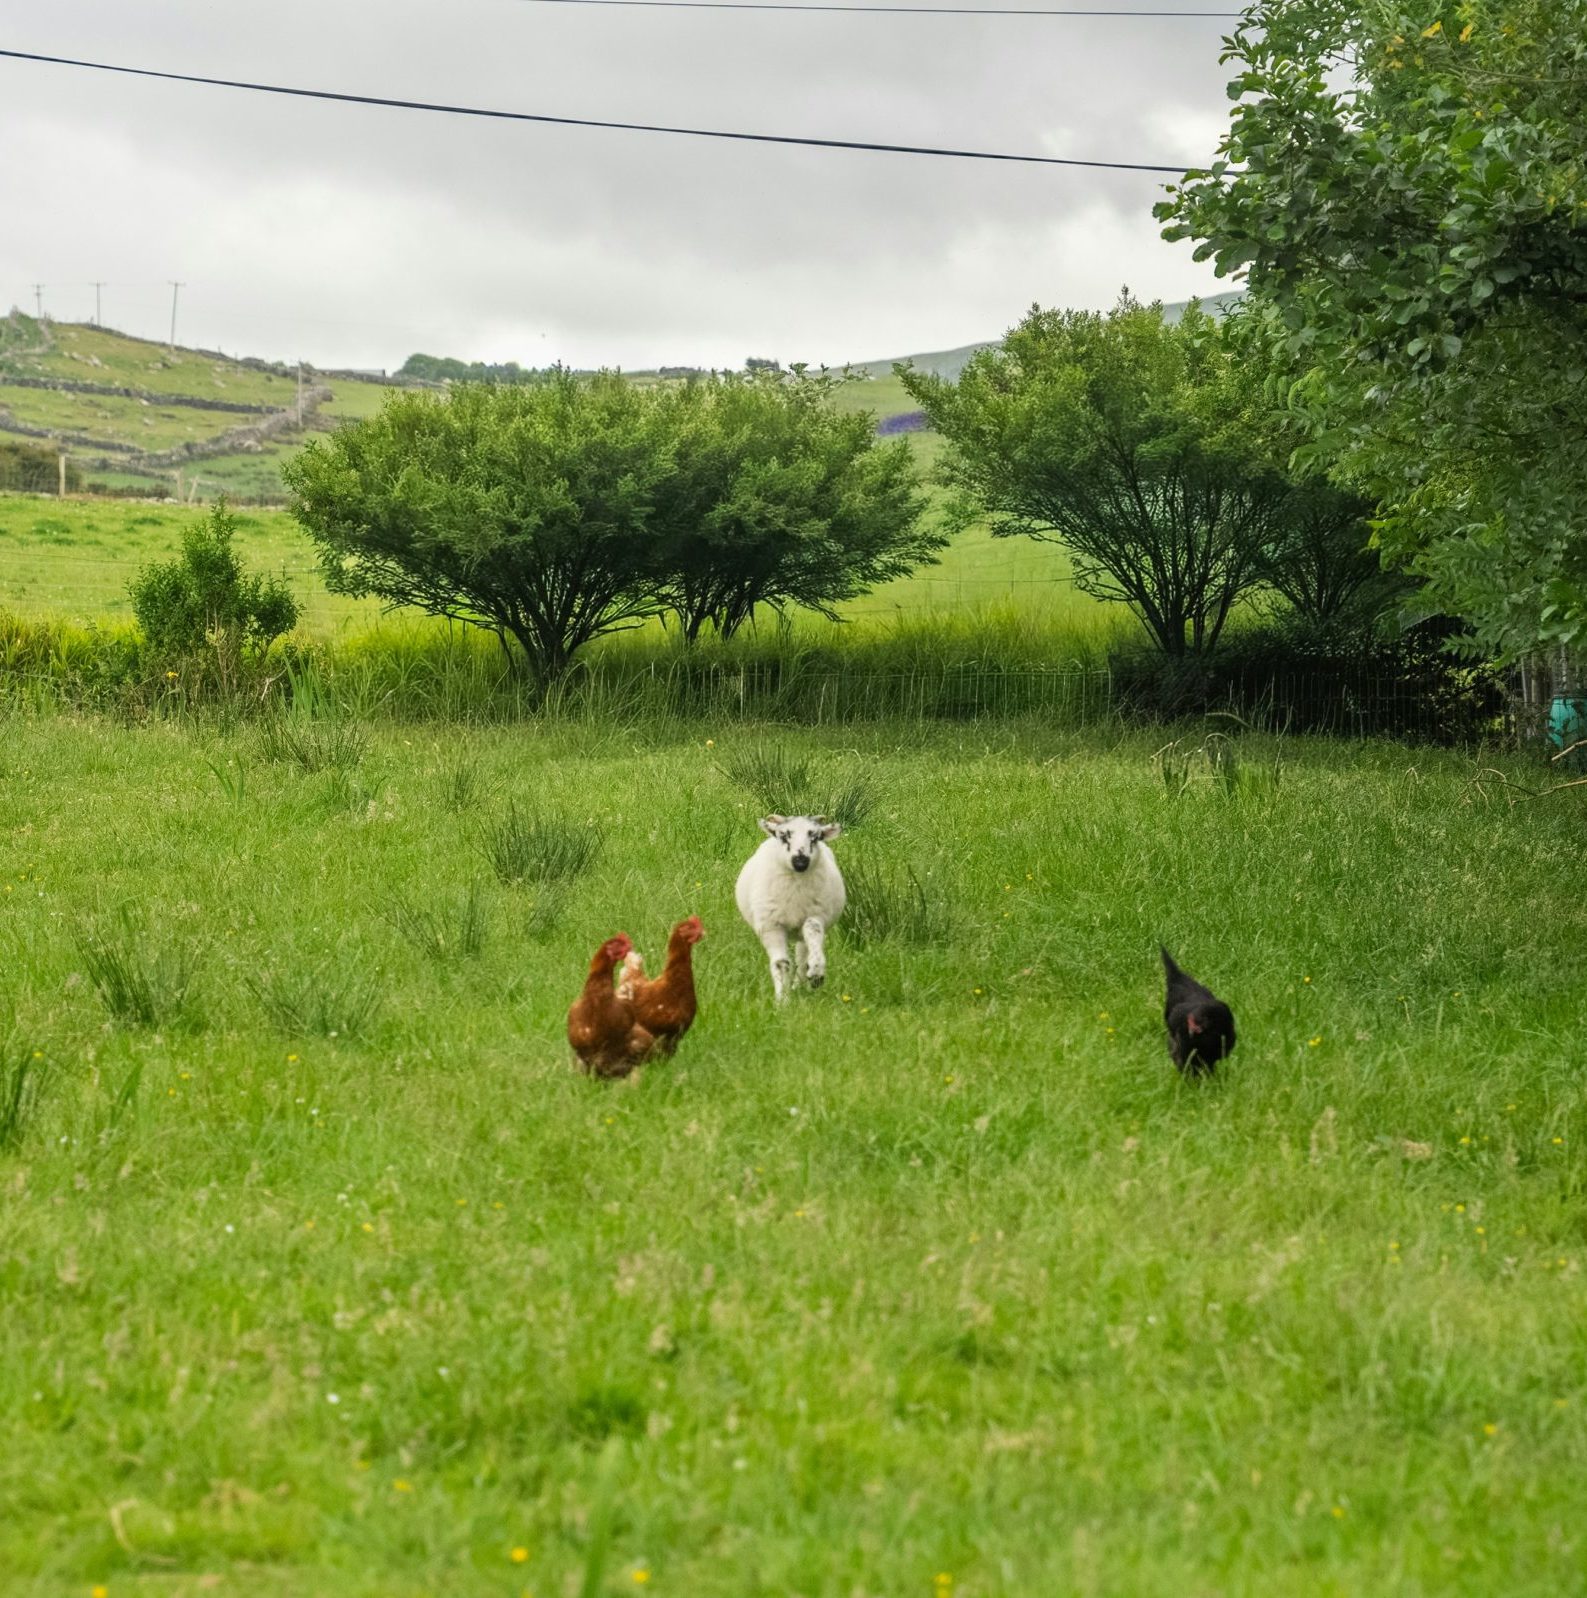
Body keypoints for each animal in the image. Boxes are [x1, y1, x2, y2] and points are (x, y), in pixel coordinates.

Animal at [735, 814, 845, 1003]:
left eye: (815, 838)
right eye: (783, 836)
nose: (800, 862)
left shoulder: (816, 915)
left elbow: (813, 934)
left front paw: (816, 973)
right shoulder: (771, 926)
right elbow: (781, 964)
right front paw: (782, 1000)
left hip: (802, 931)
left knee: (801, 958)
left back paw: (800, 984)